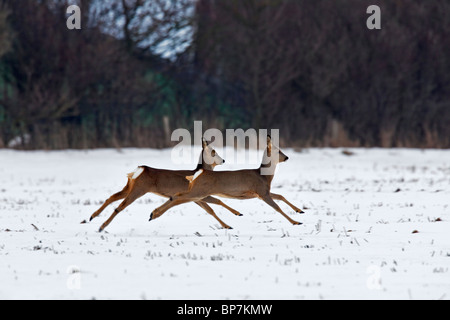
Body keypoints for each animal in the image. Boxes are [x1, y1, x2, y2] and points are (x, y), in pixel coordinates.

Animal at [87, 139, 243, 231]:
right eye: (213, 151)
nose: (223, 160)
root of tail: (140, 169)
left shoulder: (197, 199)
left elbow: (211, 210)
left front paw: (228, 224)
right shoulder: (200, 195)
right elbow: (216, 203)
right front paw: (236, 215)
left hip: (129, 187)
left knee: (111, 197)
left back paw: (91, 217)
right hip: (138, 189)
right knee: (119, 207)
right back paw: (101, 226)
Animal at [149, 135, 304, 228]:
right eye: (278, 151)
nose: (287, 157)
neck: (264, 176)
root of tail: (200, 172)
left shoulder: (261, 193)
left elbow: (281, 196)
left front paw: (300, 210)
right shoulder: (262, 192)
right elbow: (277, 208)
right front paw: (296, 222)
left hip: (197, 192)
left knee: (176, 196)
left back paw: (153, 214)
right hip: (199, 191)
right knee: (177, 198)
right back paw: (154, 214)